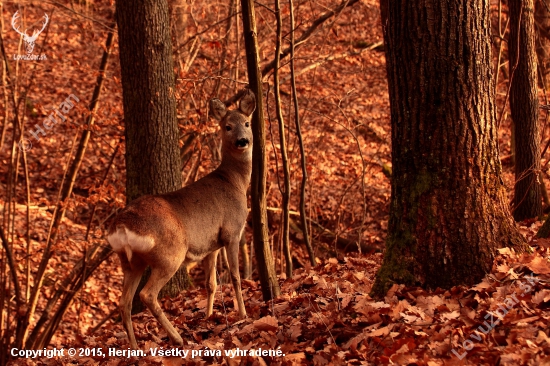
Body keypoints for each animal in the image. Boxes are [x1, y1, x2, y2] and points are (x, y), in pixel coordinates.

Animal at [108, 90, 256, 348]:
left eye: (247, 123)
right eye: (227, 126)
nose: (242, 141)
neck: (234, 181)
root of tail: (122, 226)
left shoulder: (212, 244)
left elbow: (211, 283)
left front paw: (208, 316)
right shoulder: (232, 231)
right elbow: (236, 277)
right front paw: (243, 314)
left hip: (130, 262)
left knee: (124, 302)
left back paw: (135, 347)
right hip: (170, 253)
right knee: (147, 294)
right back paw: (177, 338)